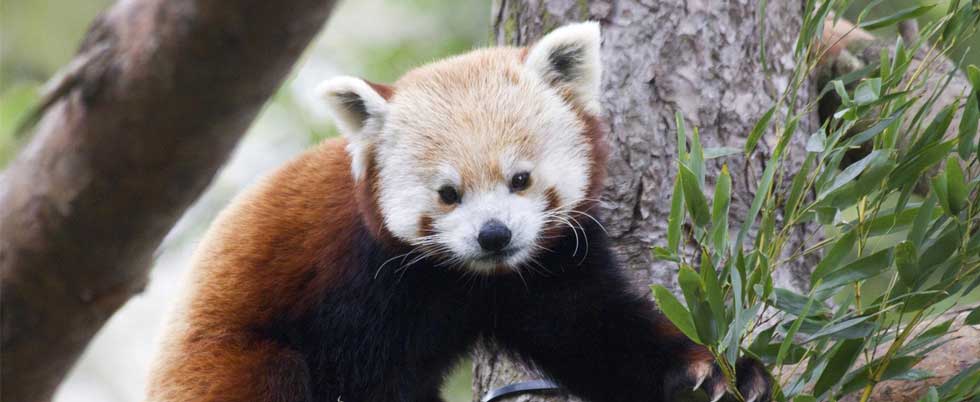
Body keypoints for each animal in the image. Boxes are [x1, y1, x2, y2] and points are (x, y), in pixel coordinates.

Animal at [147, 22, 772, 402]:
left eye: (520, 179)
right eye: (448, 193)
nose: (493, 235)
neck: (466, 277)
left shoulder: (547, 267)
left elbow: (599, 330)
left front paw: (710, 372)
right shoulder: (354, 287)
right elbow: (363, 380)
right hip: (221, 361)